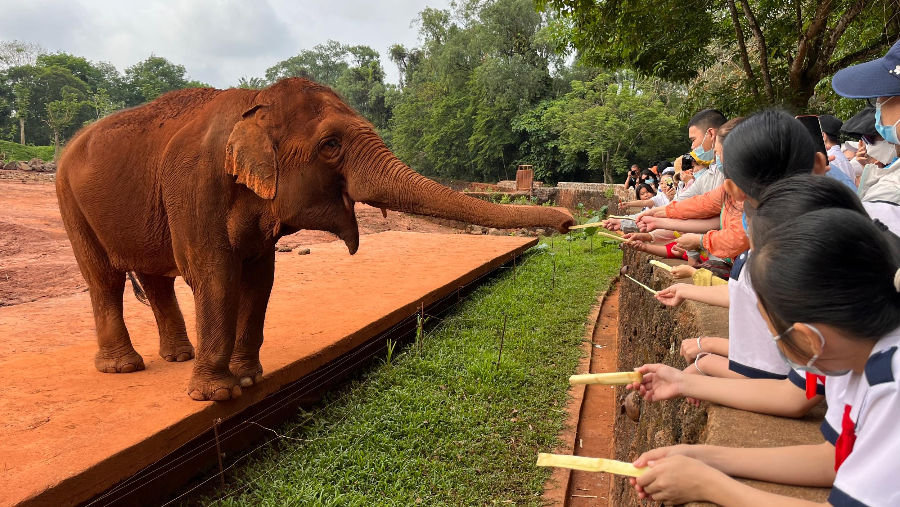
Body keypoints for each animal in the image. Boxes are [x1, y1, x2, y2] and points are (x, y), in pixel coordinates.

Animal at [56, 78, 573, 401]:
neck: (254, 101)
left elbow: (260, 278)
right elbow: (215, 275)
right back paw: (124, 367)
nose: (568, 221)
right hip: (68, 201)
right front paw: (218, 394)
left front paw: (249, 378)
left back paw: (178, 357)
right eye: (330, 145)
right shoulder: (194, 186)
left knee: (154, 278)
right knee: (104, 279)